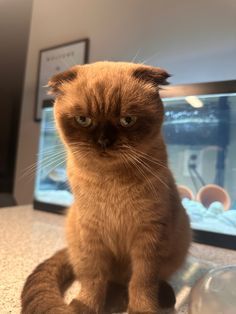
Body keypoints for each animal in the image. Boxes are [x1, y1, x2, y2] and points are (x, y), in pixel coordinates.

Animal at [21, 60, 191, 312]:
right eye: (83, 120)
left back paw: (158, 298)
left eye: (127, 120)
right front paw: (85, 307)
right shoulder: (92, 236)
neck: (111, 182)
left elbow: (142, 282)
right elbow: (93, 281)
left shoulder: (148, 237)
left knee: (145, 281)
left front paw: (141, 309)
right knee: (106, 280)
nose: (103, 141)